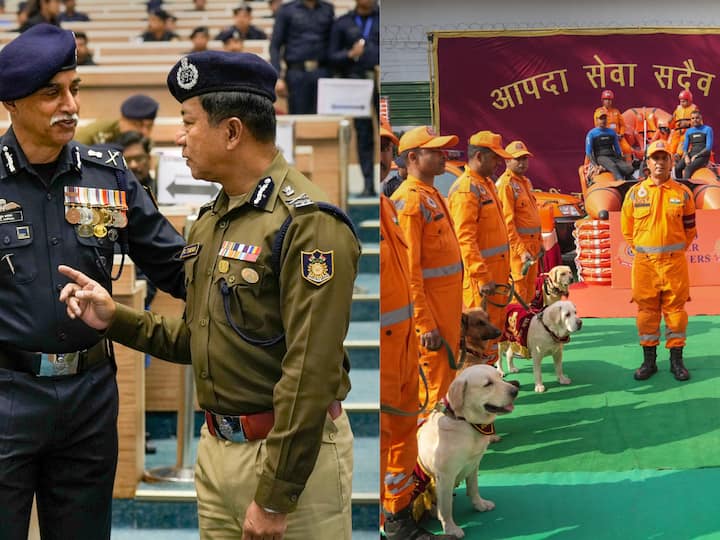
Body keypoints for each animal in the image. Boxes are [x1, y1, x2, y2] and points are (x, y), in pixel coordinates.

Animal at [416, 364, 516, 536]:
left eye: (500, 376)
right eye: (488, 384)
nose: (516, 390)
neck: (466, 422)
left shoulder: (474, 464)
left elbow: (474, 488)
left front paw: (480, 505)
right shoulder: (445, 476)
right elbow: (446, 507)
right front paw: (450, 528)